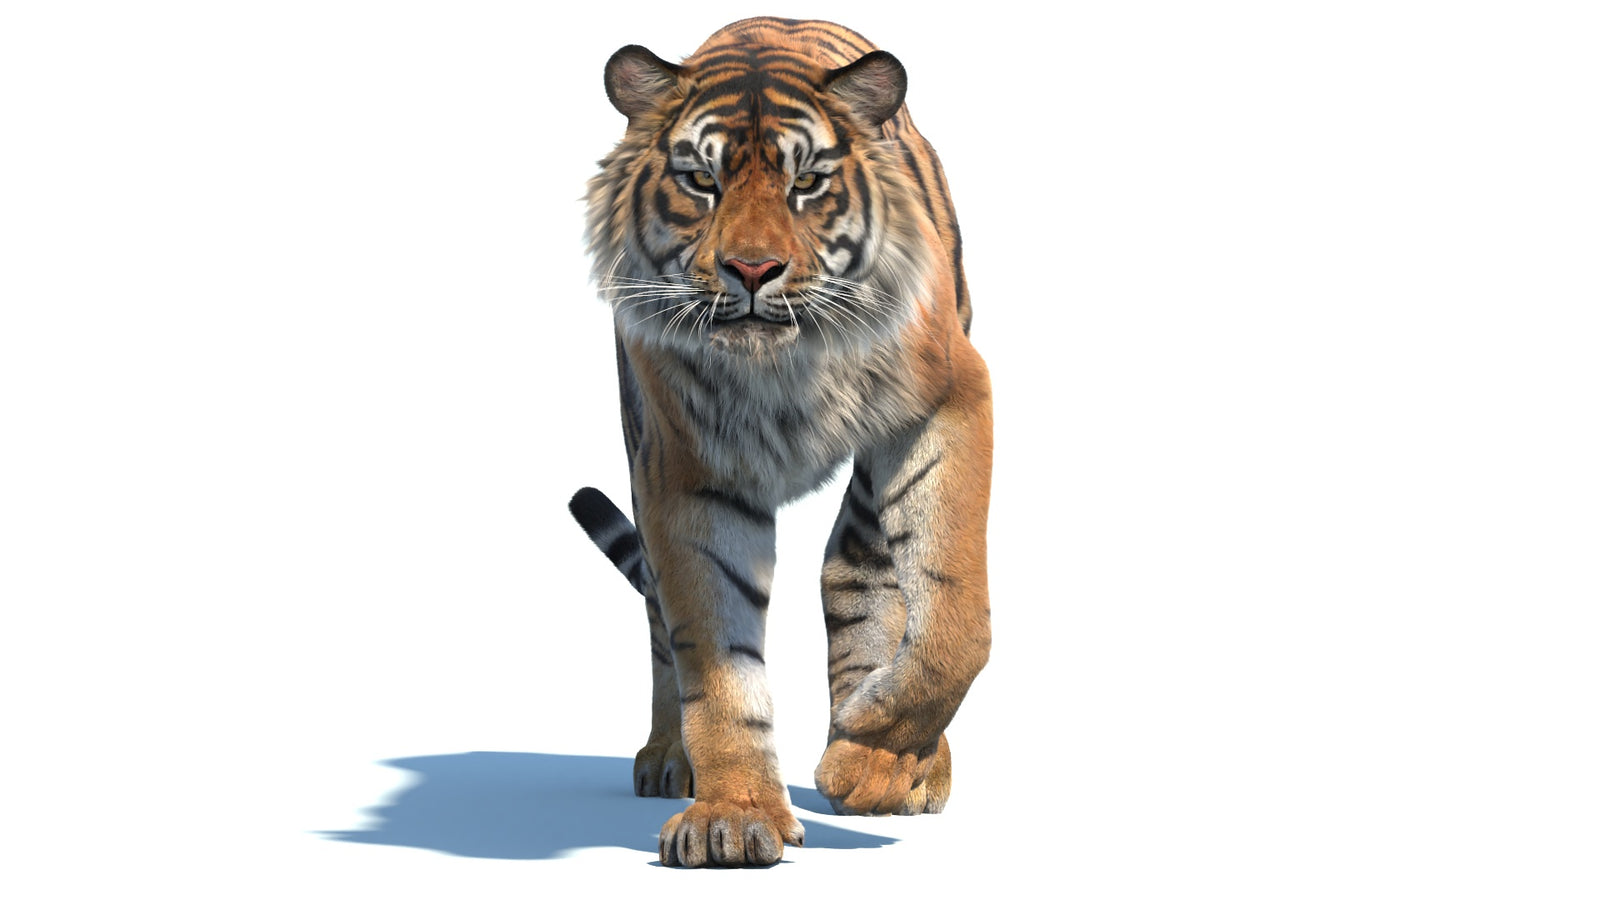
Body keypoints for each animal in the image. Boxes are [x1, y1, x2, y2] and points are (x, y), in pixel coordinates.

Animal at [570, 17, 992, 868]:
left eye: (808, 184)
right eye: (701, 181)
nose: (753, 268)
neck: (782, 369)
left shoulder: (949, 398)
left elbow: (955, 616)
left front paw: (871, 758)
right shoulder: (685, 471)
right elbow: (715, 657)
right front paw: (731, 816)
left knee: (855, 572)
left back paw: (890, 761)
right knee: (662, 619)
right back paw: (667, 757)